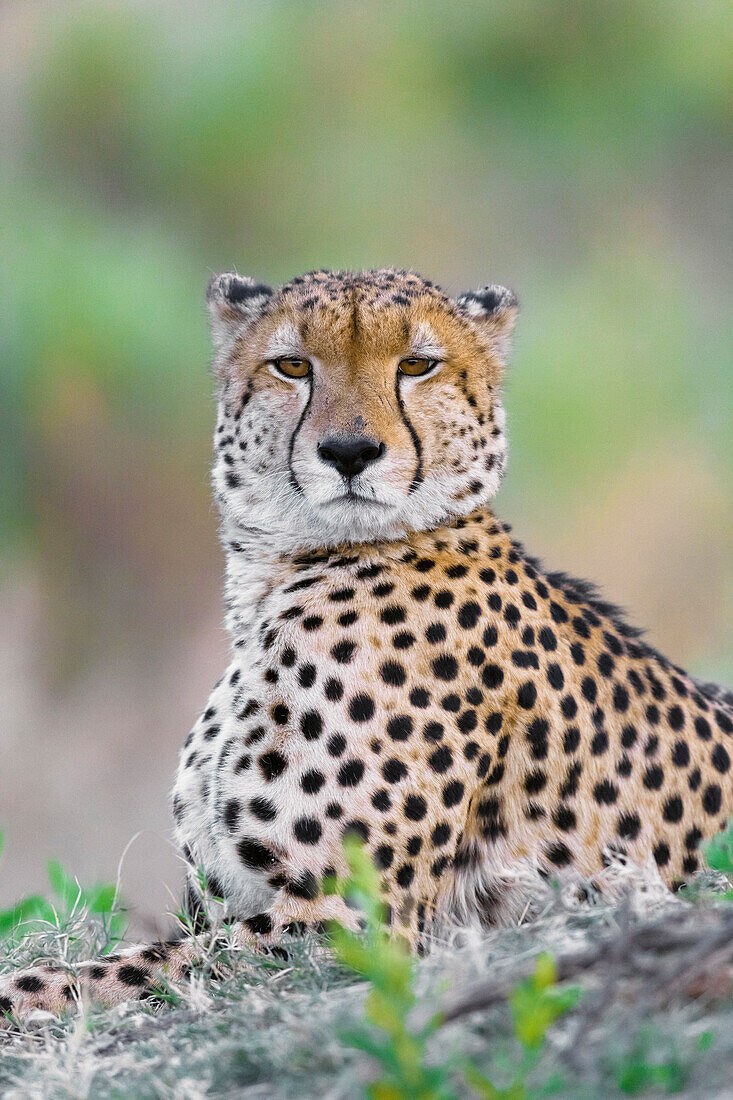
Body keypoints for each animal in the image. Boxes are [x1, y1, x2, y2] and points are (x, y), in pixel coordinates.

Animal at [2, 266, 726, 1020]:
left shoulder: (346, 925)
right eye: (292, 366)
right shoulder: (231, 902)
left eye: (417, 365)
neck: (280, 577)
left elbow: (103, 972)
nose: (349, 453)